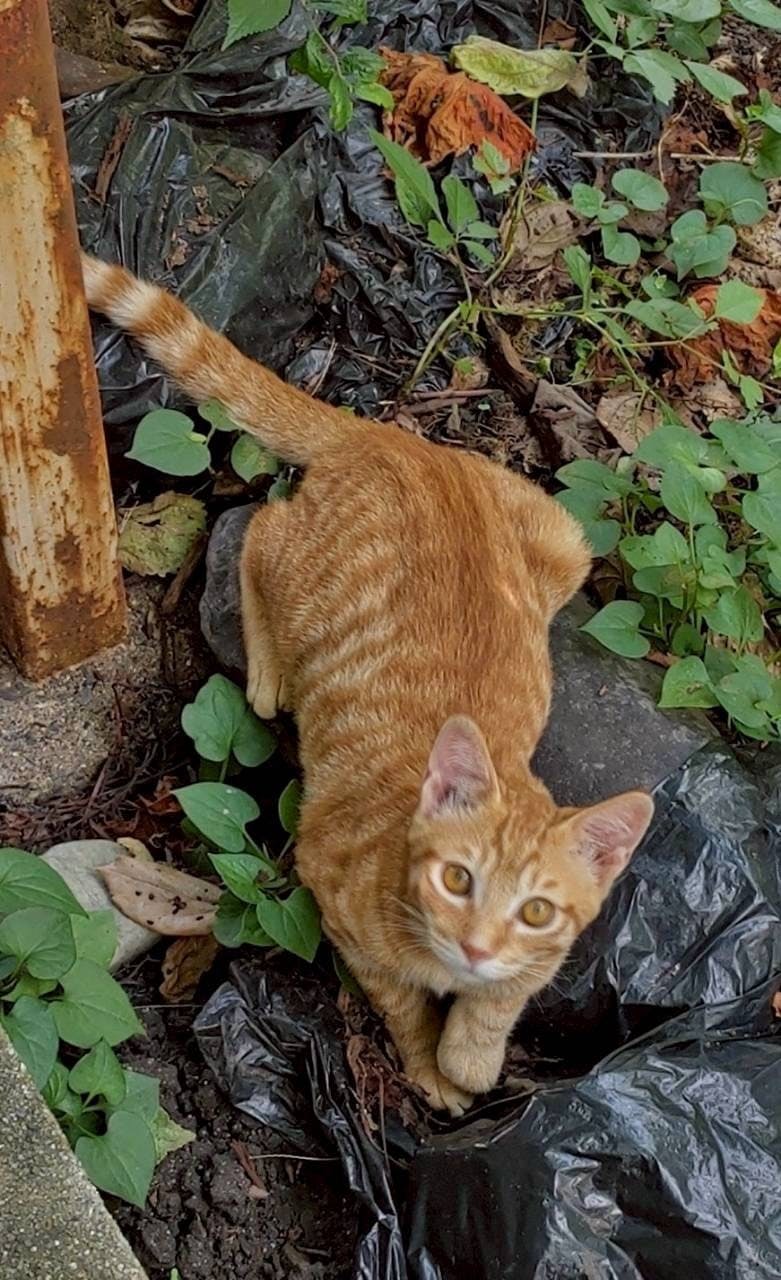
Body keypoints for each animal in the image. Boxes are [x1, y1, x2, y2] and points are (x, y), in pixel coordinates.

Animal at [81, 252, 654, 1114]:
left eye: (535, 910)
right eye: (456, 879)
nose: (476, 946)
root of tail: (396, 437)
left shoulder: (537, 955)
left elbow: (504, 995)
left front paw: (471, 1054)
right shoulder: (333, 898)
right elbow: (402, 1004)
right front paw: (430, 1064)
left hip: (567, 543)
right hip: (305, 573)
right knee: (258, 527)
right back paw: (268, 672)